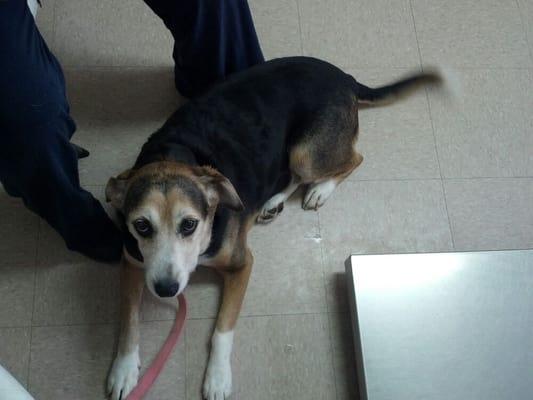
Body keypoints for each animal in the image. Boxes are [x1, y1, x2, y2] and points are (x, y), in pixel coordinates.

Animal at [105, 56, 440, 400]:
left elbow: (222, 330)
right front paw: (124, 369)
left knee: (353, 159)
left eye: (189, 224)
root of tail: (343, 76)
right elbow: (128, 320)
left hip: (306, 152)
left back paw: (320, 190)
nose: (166, 290)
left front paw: (217, 377)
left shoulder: (241, 265)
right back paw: (274, 202)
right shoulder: (132, 263)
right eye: (141, 226)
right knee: (296, 174)